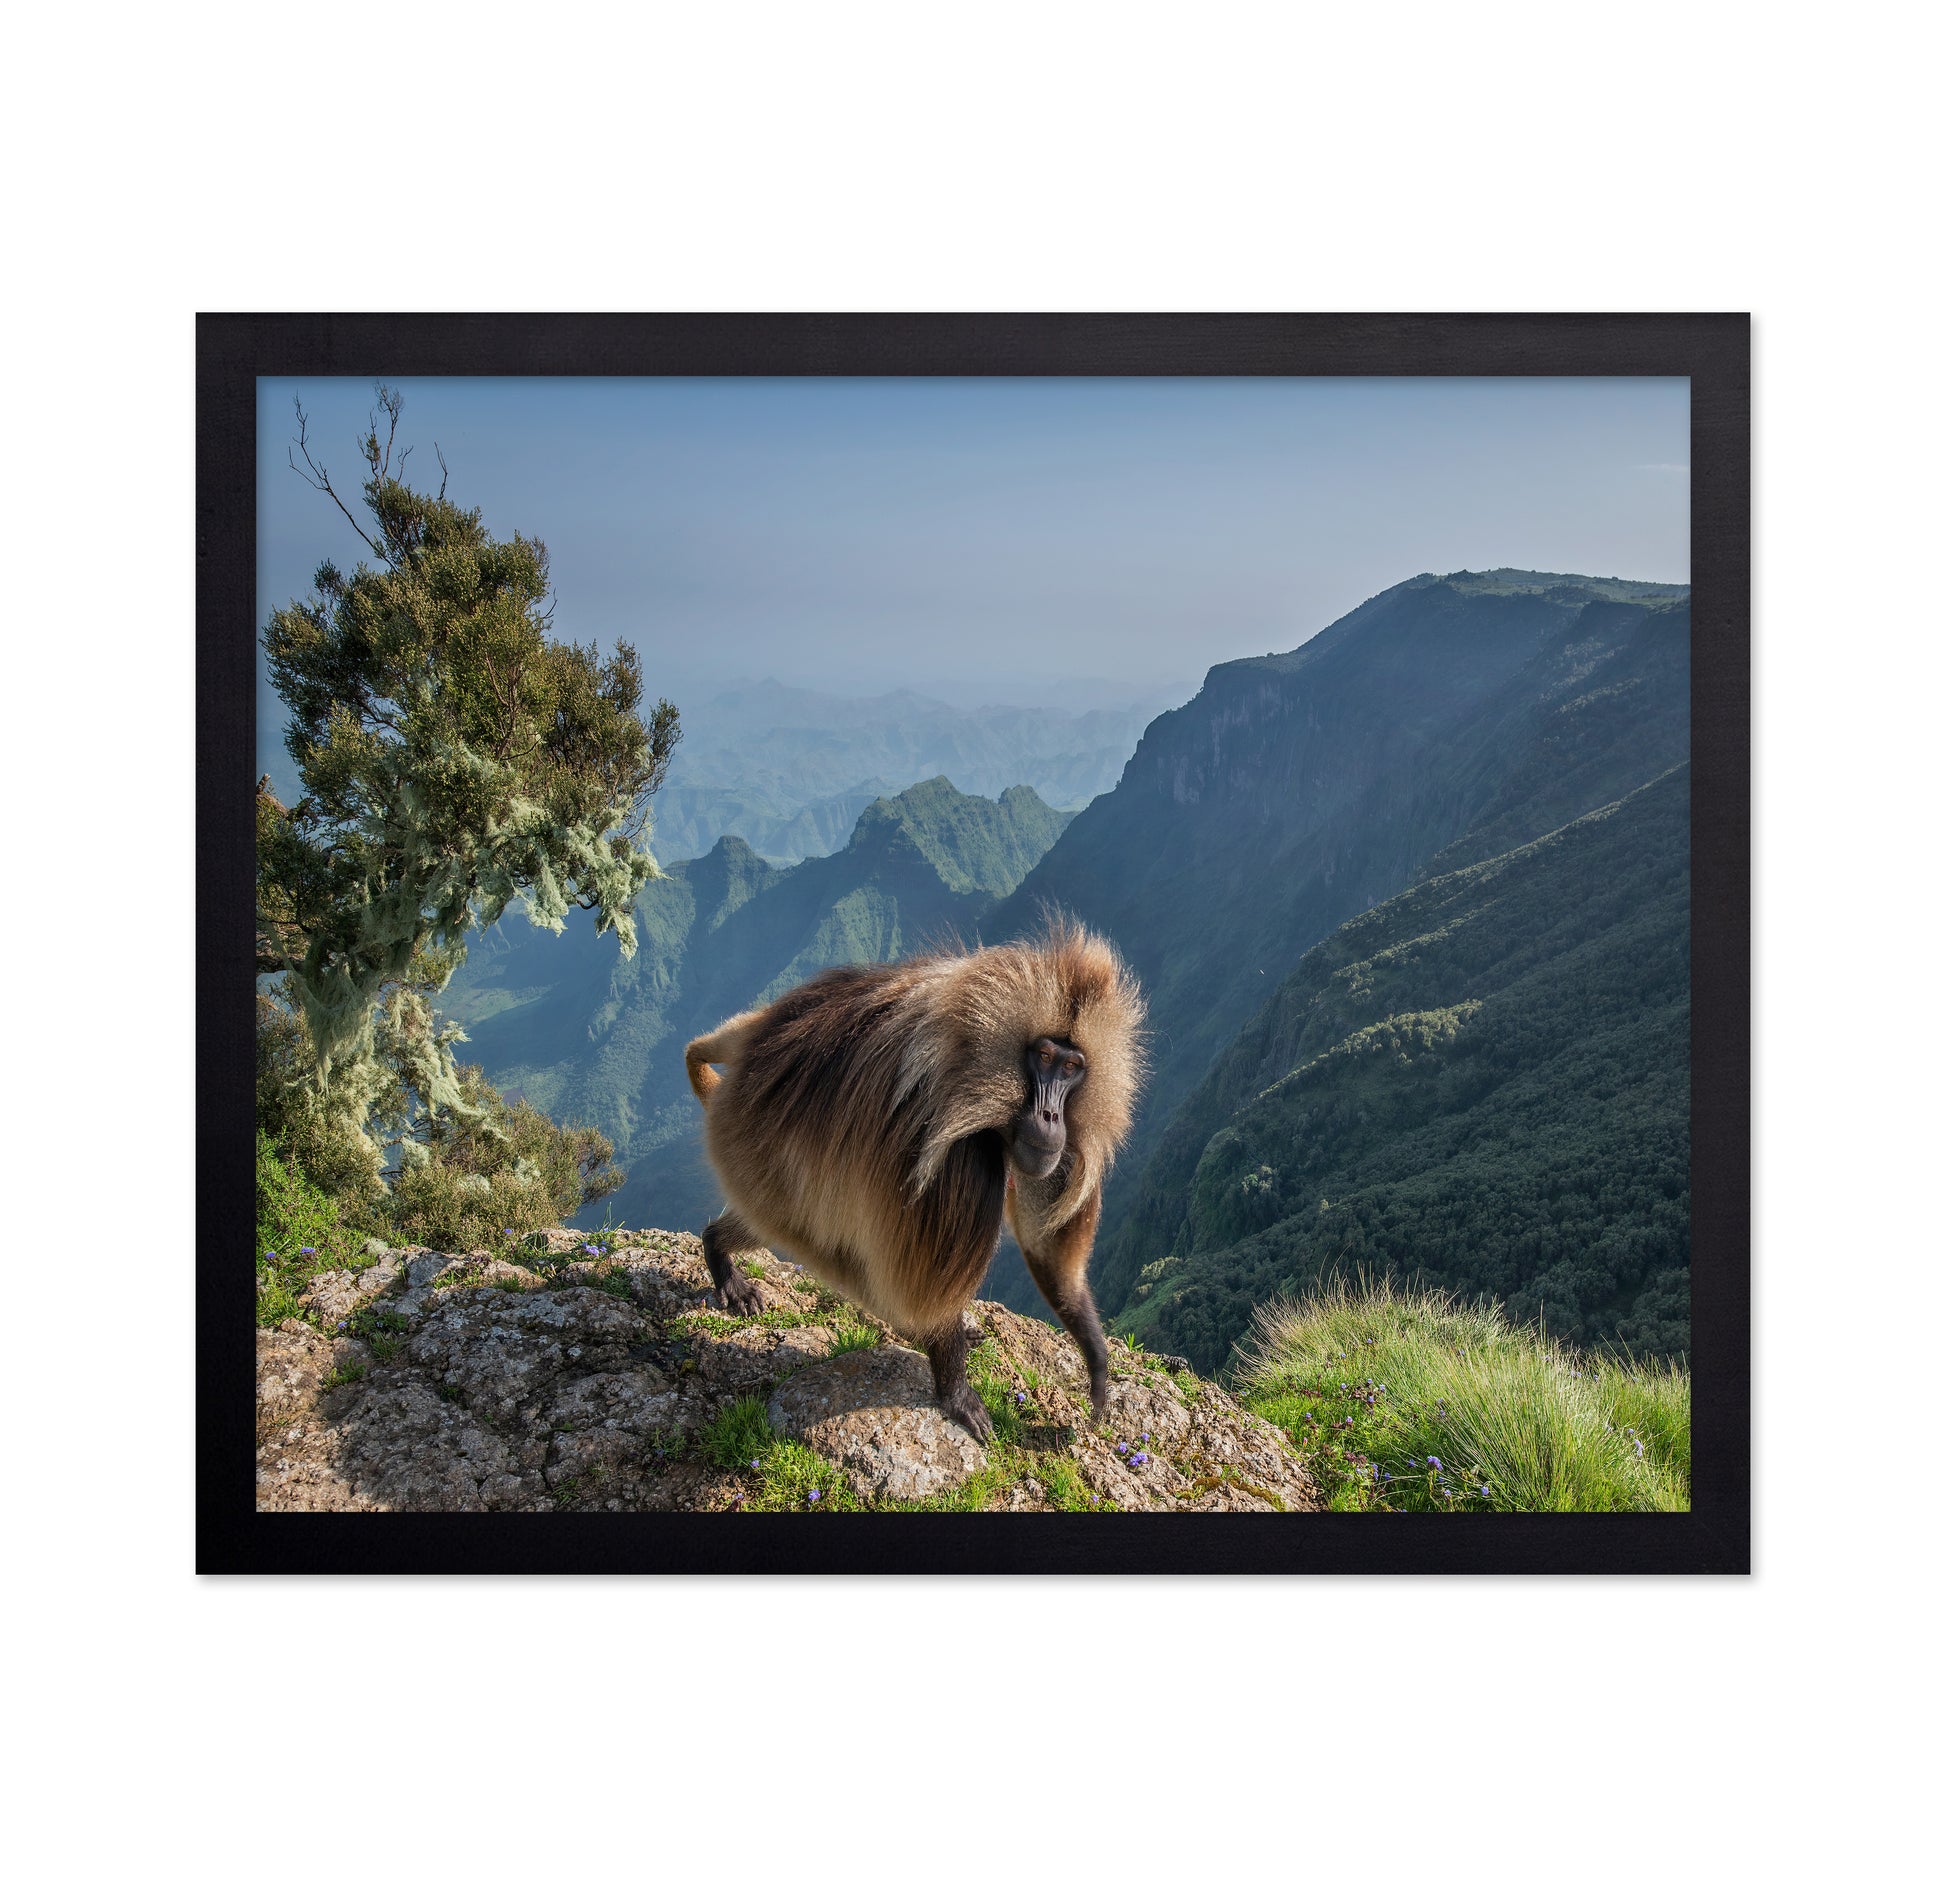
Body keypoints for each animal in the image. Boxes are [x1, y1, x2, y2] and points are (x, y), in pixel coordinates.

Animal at [682, 920, 1145, 1440]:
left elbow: (1045, 1249)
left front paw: (1097, 1362)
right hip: (750, 1157)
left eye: (1071, 1067)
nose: (1050, 1116)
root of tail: (756, 1041)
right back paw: (719, 1251)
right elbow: (927, 1285)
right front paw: (955, 1392)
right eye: (1043, 1056)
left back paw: (718, 1245)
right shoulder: (958, 1155)